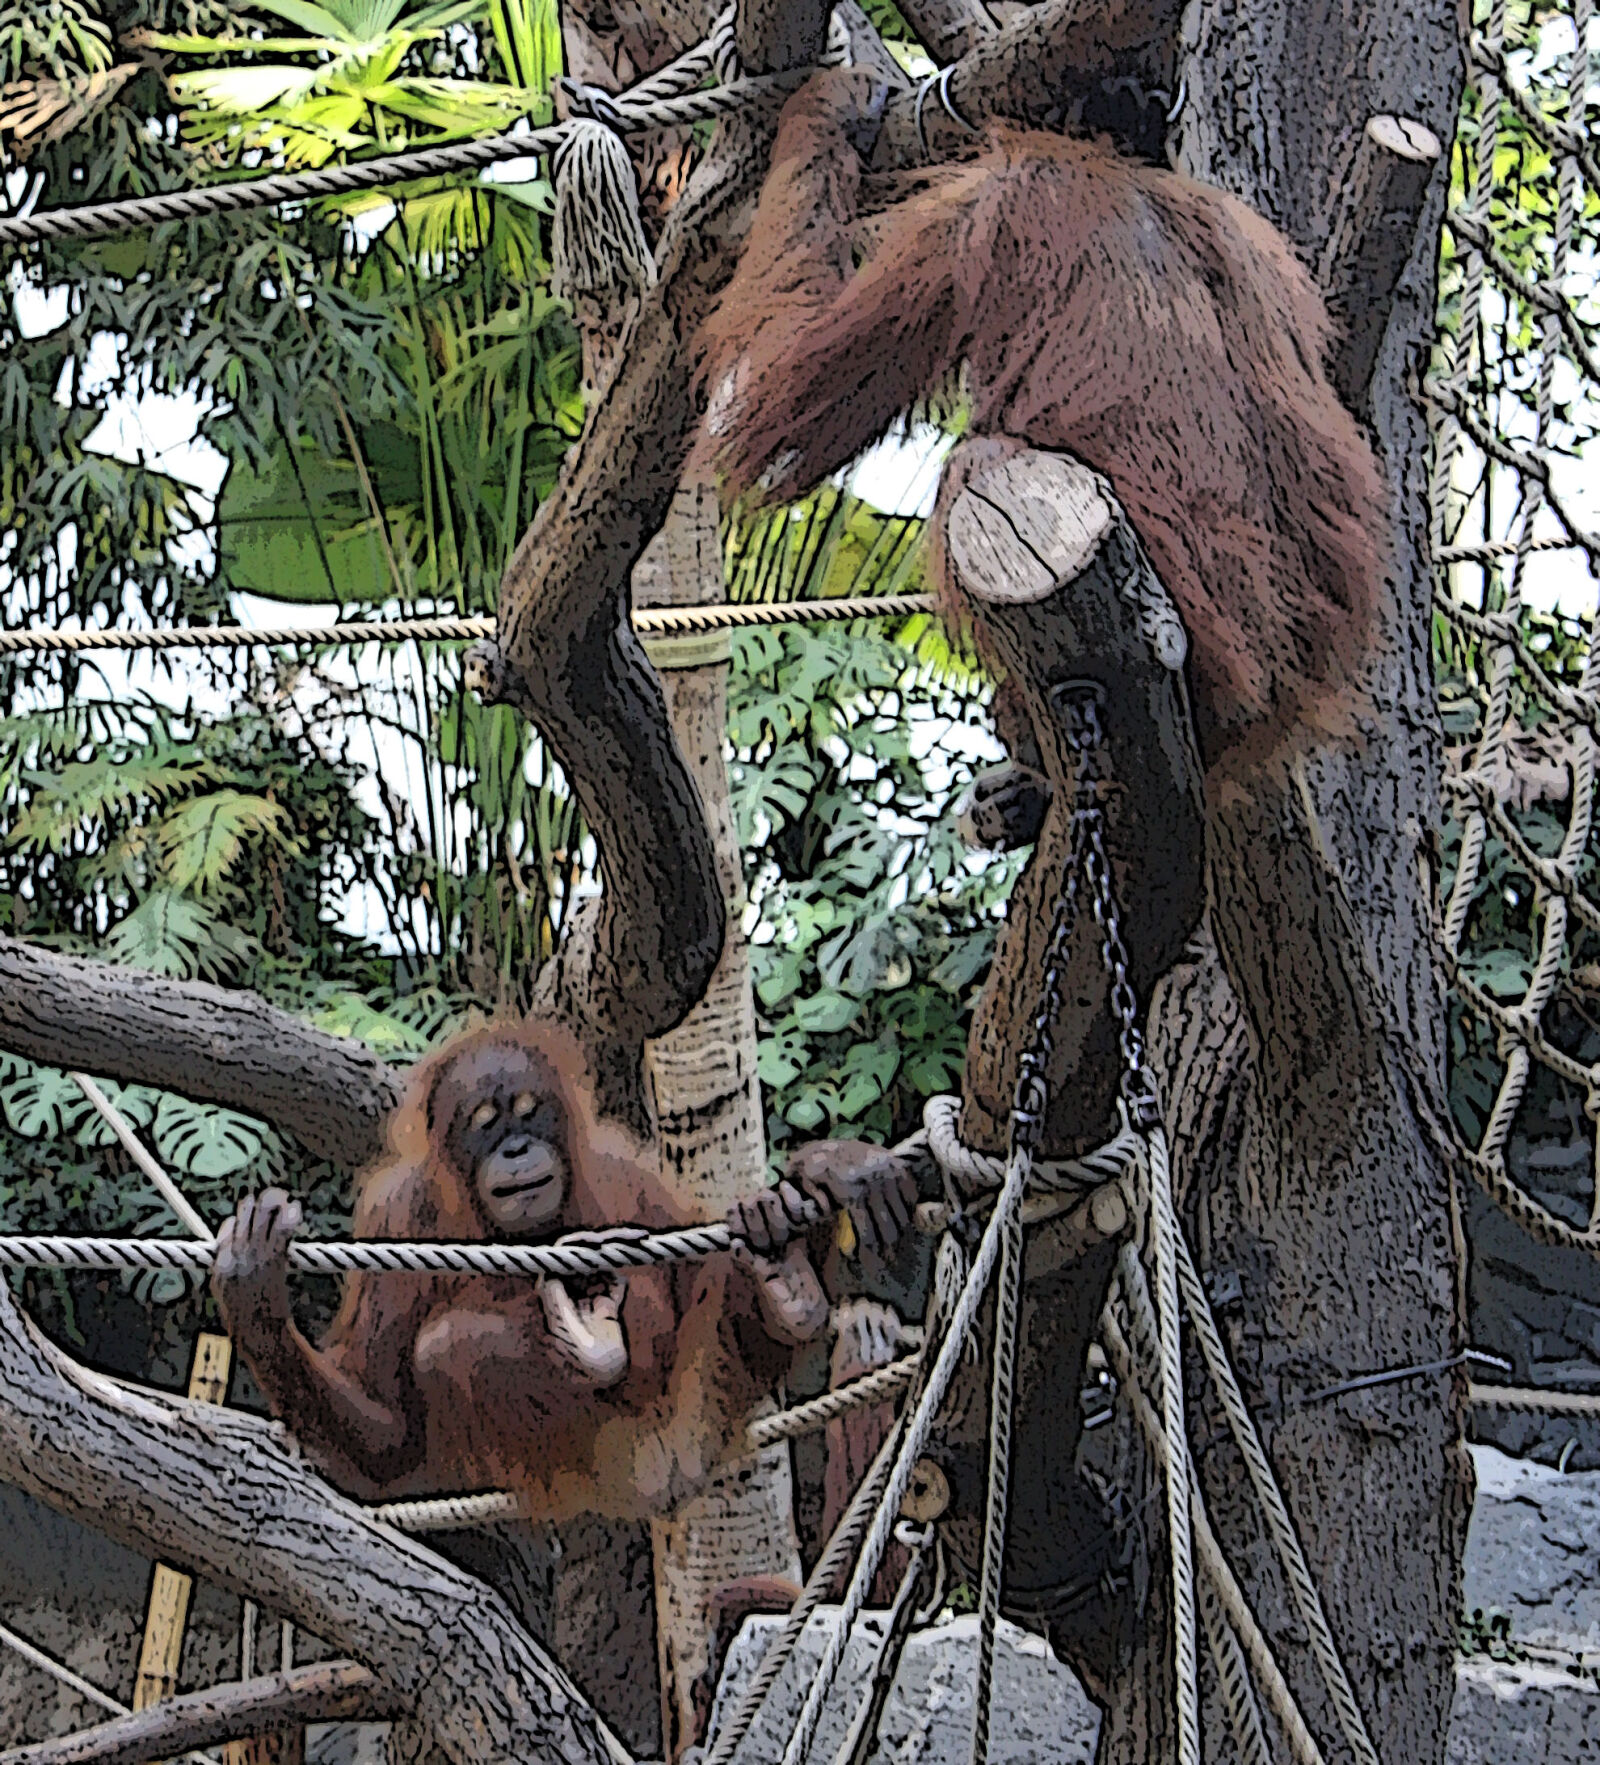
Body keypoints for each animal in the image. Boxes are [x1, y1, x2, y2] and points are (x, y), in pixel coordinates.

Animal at [212, 1019, 918, 1520]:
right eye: (485, 1124)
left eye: (530, 1111)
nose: (517, 1148)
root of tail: (656, 1475)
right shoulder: (393, 1215)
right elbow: (391, 1429)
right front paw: (254, 1292)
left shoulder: (624, 1167)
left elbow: (690, 1279)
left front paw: (830, 1169)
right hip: (593, 1454)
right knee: (452, 1344)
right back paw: (595, 1347)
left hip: (694, 1401)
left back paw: (786, 1277)